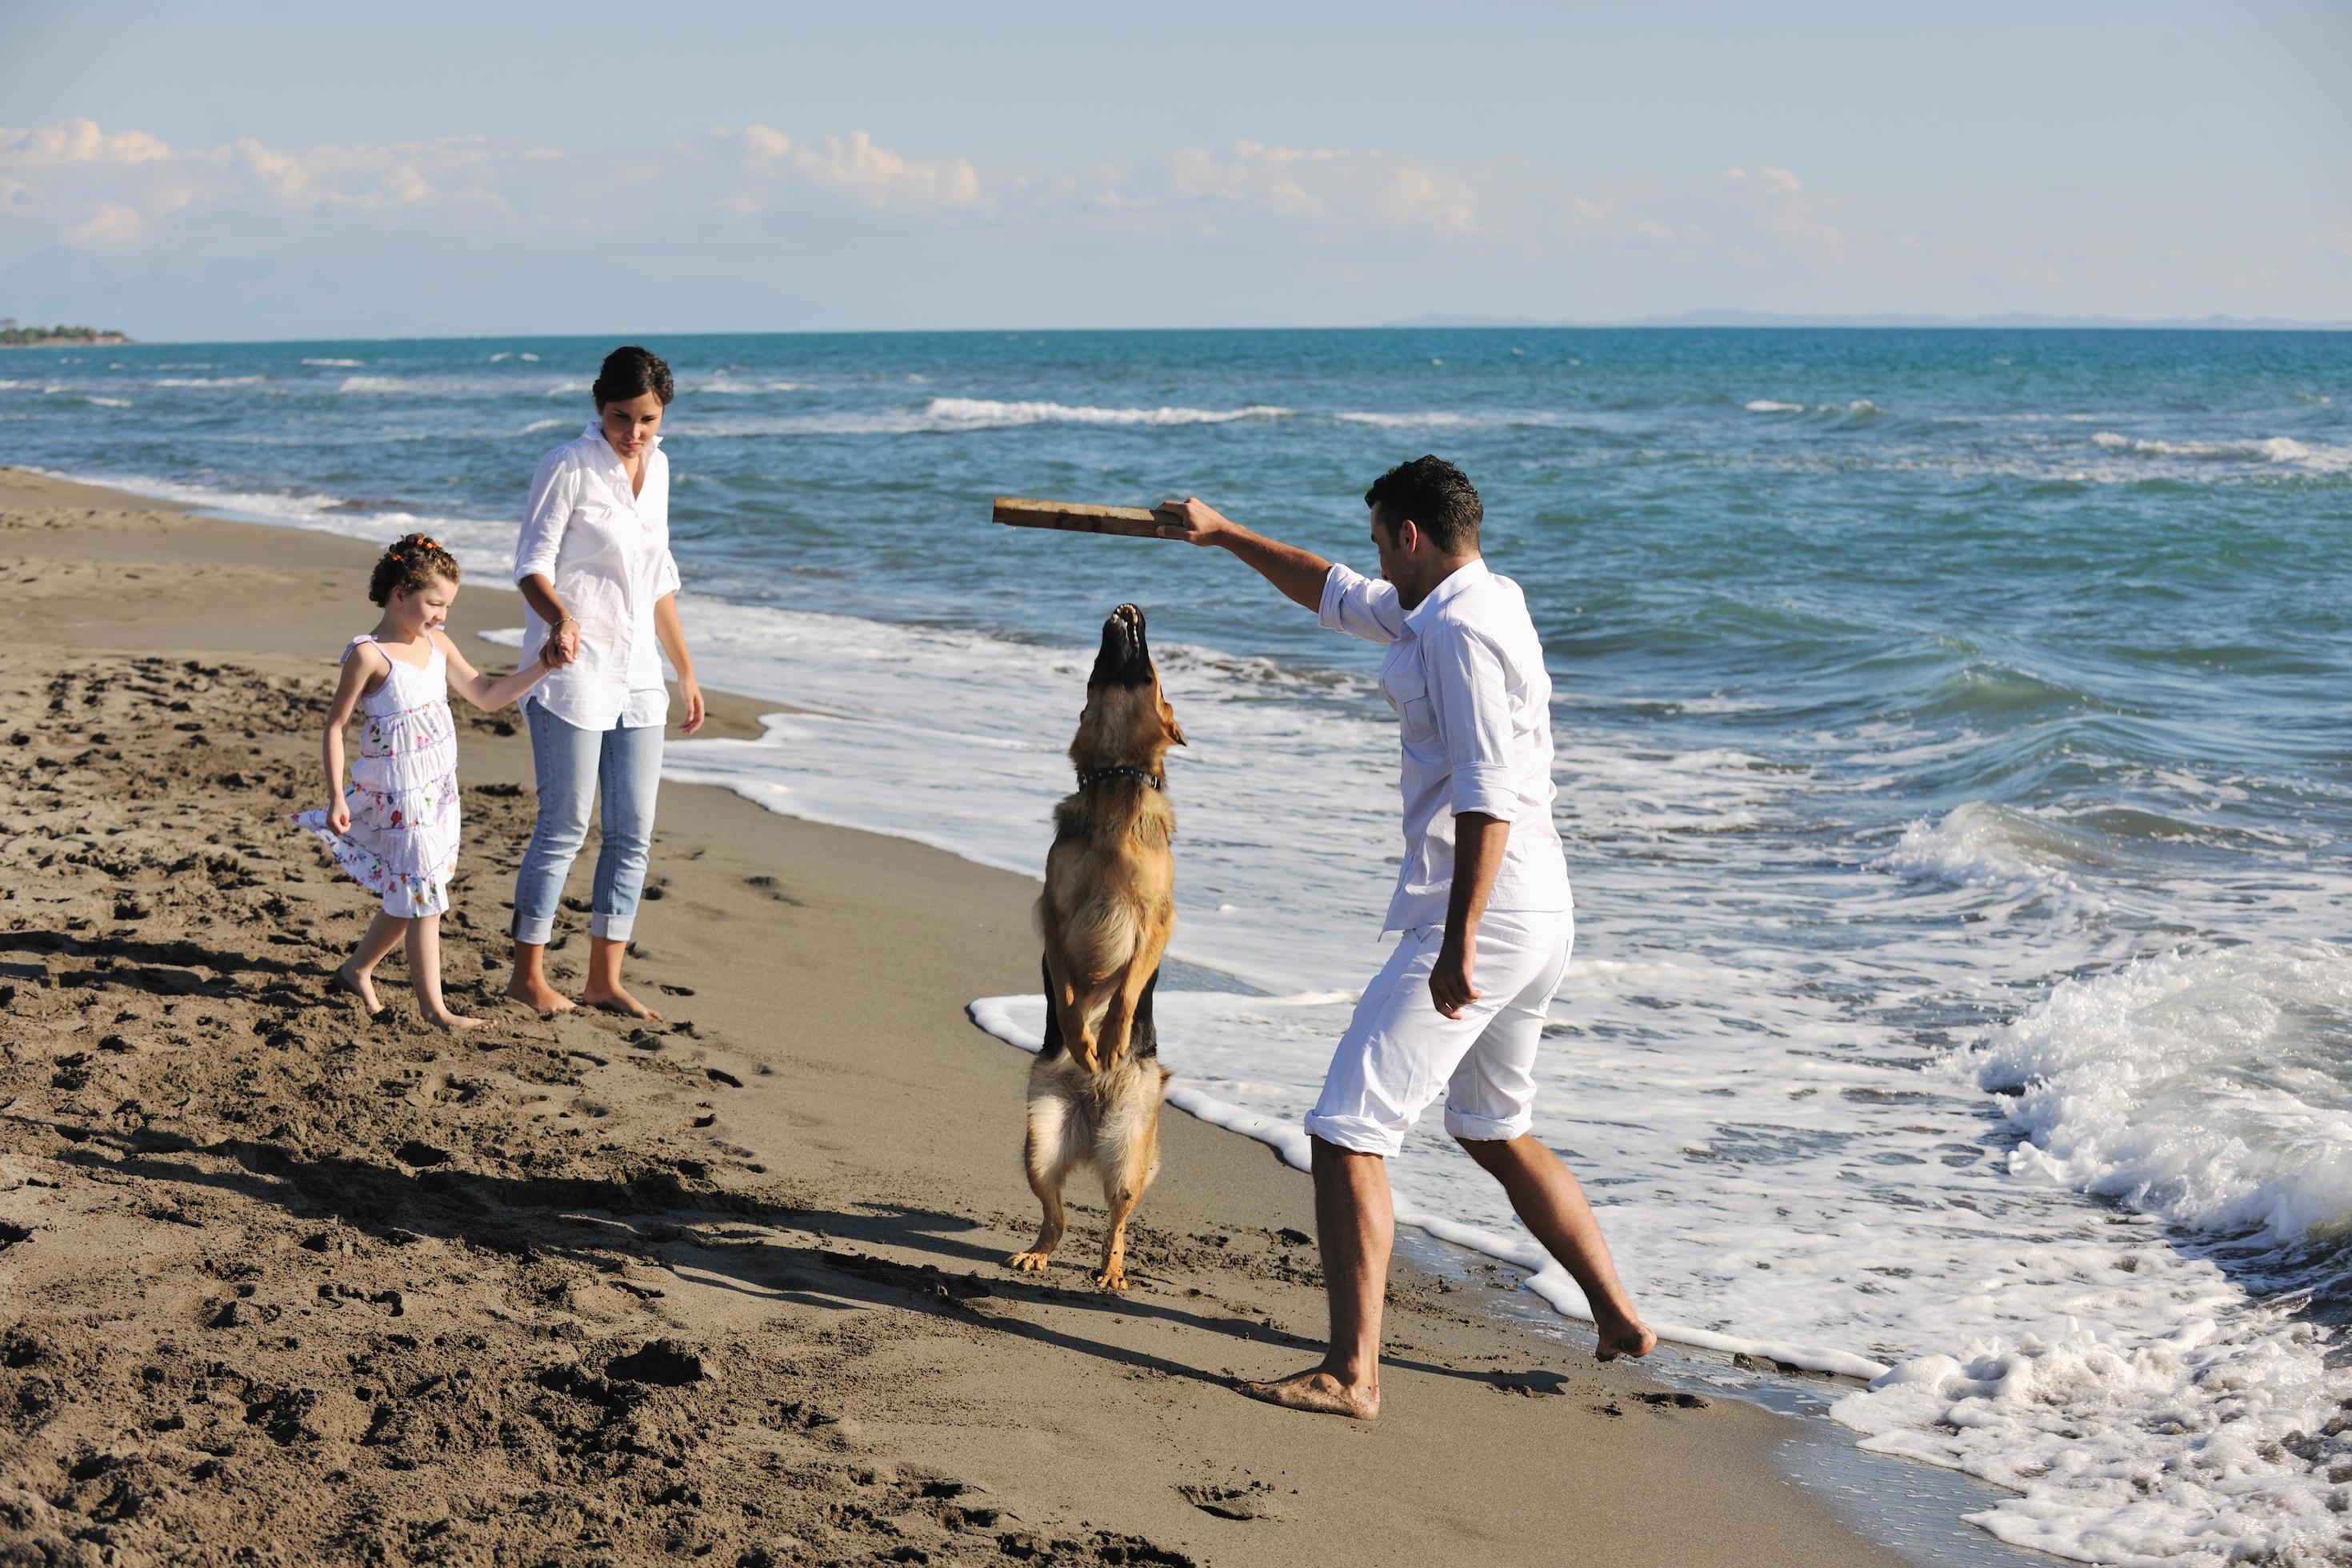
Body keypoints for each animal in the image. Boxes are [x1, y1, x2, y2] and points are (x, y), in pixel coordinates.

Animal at [1011, 602, 1194, 1288]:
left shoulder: (1156, 922)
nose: (1130, 606)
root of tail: (1090, 1125)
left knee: (1116, 1220)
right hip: (1038, 1142)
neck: (1115, 777)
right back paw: (1037, 1252)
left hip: (1128, 1151)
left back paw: (1112, 1271)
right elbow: (1067, 994)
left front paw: (1110, 1039)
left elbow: (1126, 988)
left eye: (1149, 667)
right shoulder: (1054, 915)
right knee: (1057, 1215)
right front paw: (1081, 1038)